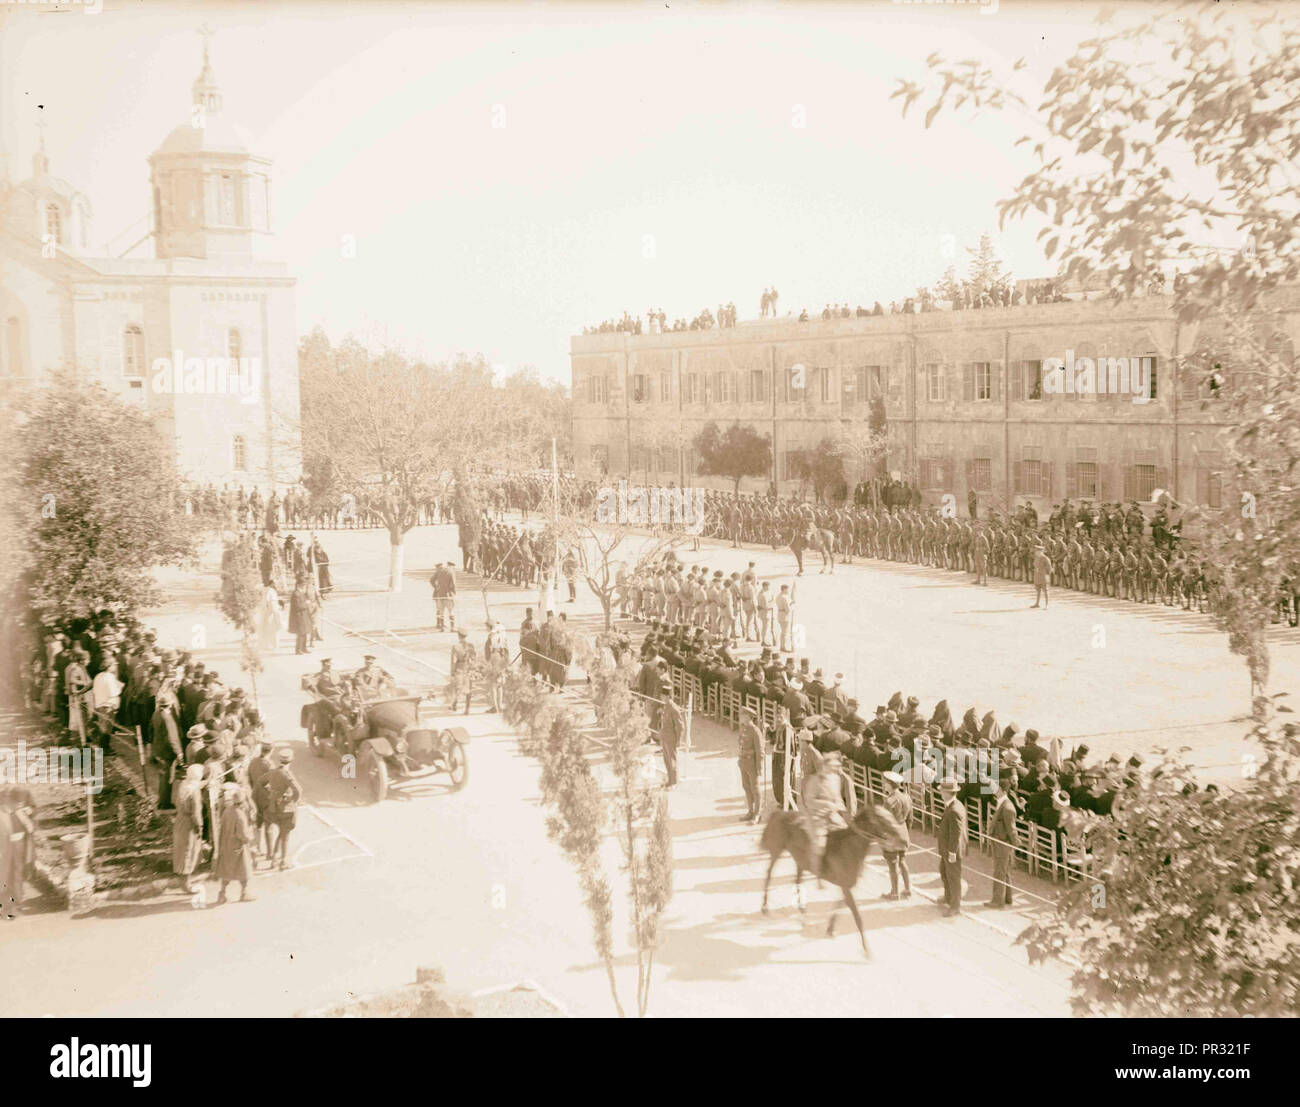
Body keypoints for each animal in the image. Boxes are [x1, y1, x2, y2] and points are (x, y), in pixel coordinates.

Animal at [759, 800, 899, 956]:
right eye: (882, 819)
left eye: (890, 814)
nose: (900, 837)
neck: (850, 848)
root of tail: (780, 813)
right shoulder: (846, 886)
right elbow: (857, 917)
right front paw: (867, 950)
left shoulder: (847, 886)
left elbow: (840, 904)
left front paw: (830, 929)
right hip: (776, 851)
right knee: (768, 875)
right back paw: (765, 907)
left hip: (800, 861)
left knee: (797, 881)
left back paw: (802, 913)